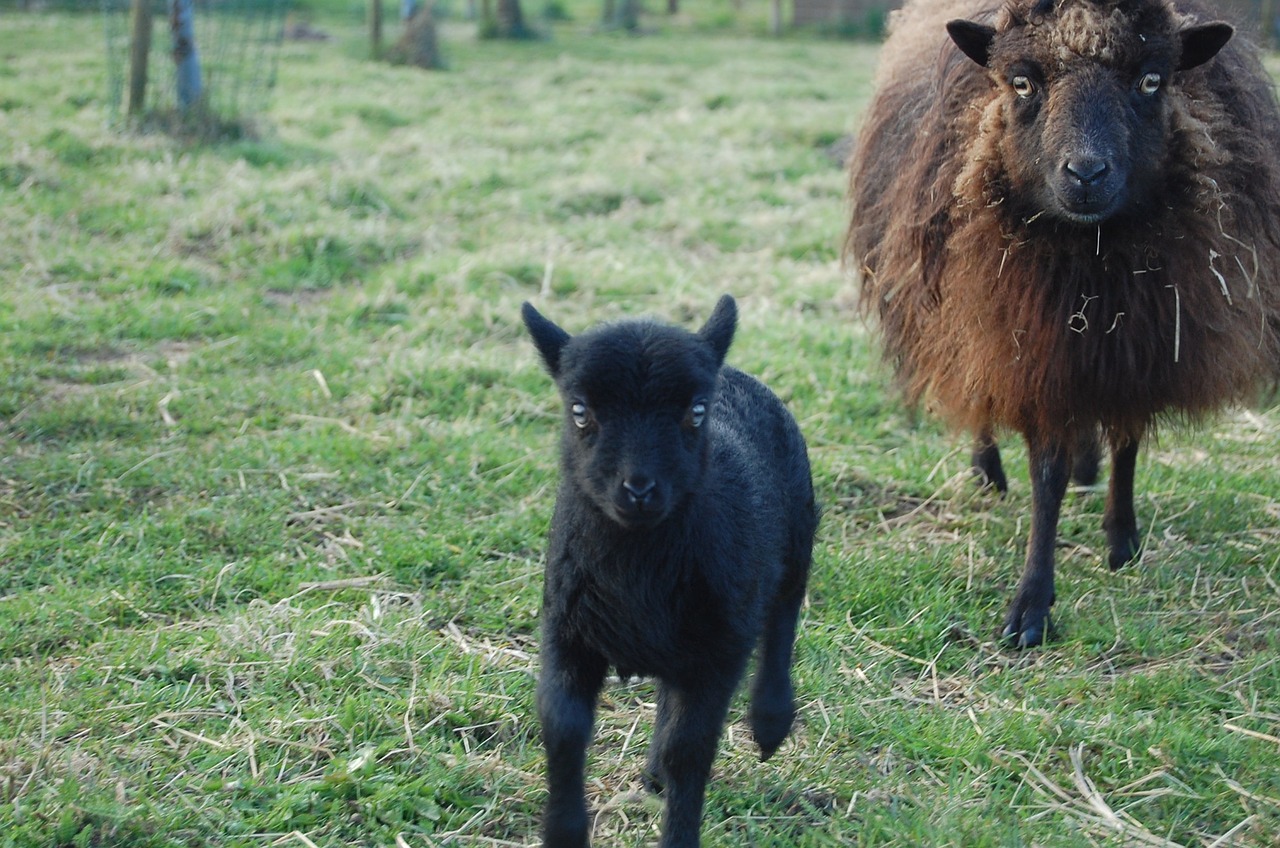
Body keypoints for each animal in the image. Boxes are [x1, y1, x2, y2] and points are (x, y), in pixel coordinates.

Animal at [522, 297, 814, 848]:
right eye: (579, 411)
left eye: (696, 411)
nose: (638, 489)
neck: (636, 568)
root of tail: (732, 371)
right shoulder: (568, 628)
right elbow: (563, 727)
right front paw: (564, 832)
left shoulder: (721, 647)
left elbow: (690, 750)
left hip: (798, 535)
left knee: (784, 615)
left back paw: (770, 719)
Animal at [849, 0, 1280, 648]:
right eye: (1021, 83)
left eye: (1151, 80)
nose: (1086, 173)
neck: (1092, 263)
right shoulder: (1030, 347)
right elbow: (1045, 476)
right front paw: (1031, 605)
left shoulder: (1138, 344)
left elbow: (1127, 444)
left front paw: (1122, 540)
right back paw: (988, 472)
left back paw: (1087, 464)